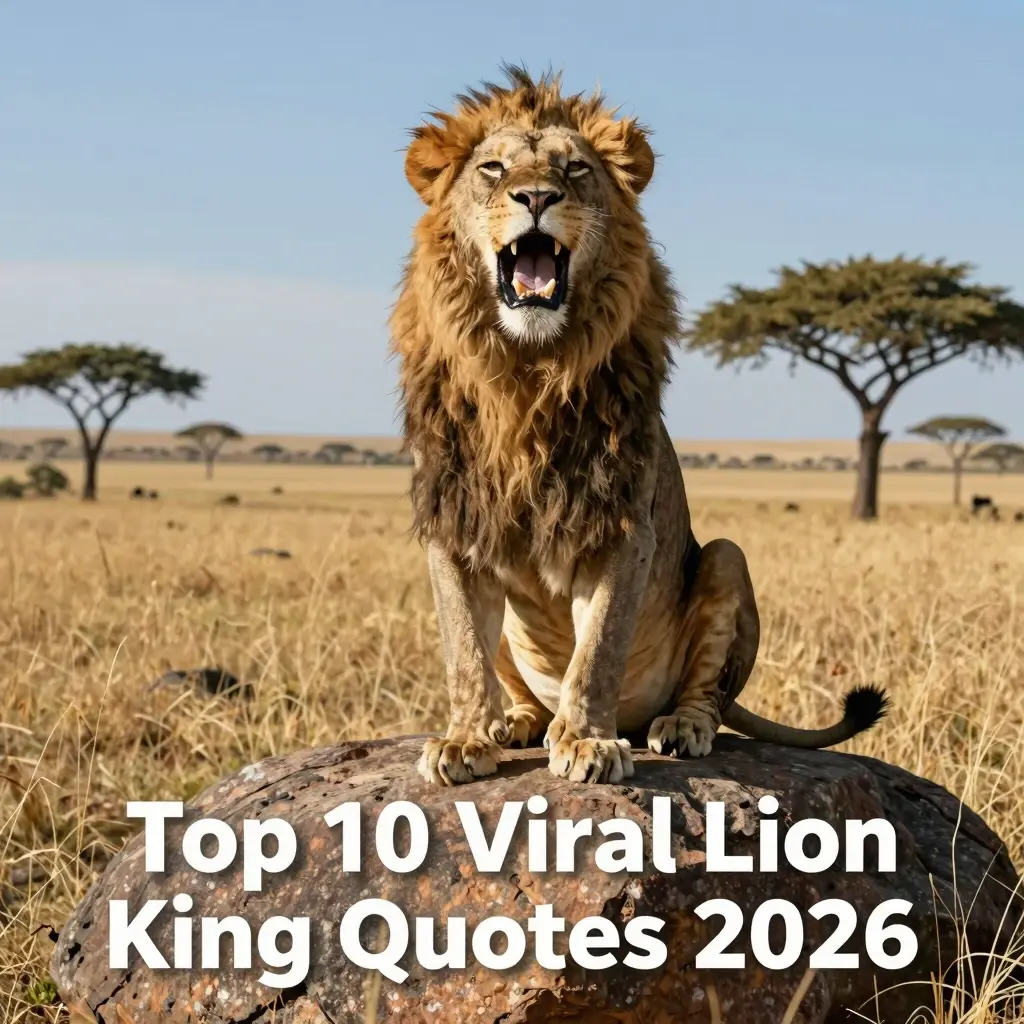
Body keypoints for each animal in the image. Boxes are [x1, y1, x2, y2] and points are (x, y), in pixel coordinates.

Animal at [389, 65, 889, 787]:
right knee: (513, 679)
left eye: (574, 169)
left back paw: (678, 727)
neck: (527, 371)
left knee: (708, 692)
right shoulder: (457, 521)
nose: (536, 196)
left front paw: (586, 742)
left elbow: (597, 649)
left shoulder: (622, 523)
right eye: (492, 168)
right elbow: (462, 649)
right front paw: (462, 739)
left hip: (726, 558)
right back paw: (517, 721)